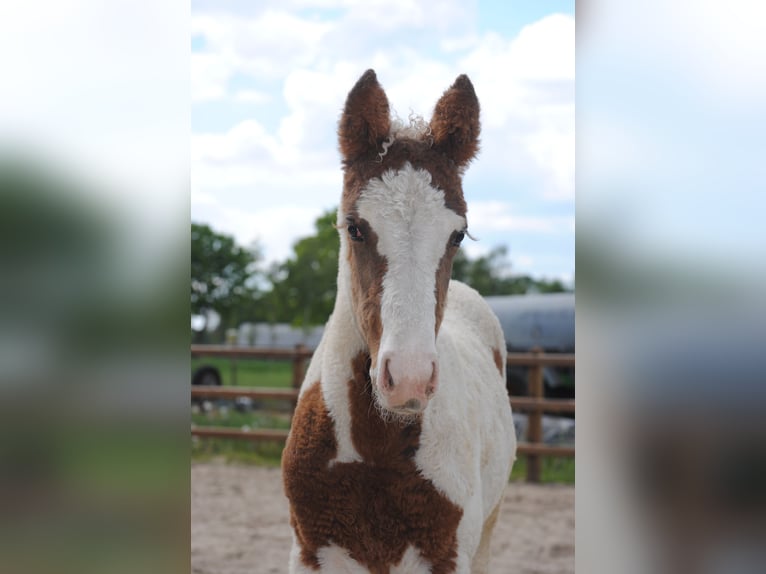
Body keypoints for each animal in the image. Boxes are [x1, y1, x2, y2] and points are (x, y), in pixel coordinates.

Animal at [282, 69, 516, 574]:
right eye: (354, 227)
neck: (375, 449)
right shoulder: (309, 552)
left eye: (457, 234)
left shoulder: (448, 555)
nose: (408, 378)